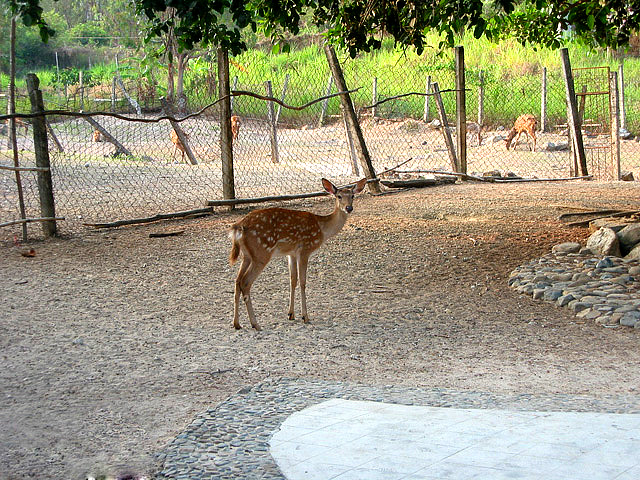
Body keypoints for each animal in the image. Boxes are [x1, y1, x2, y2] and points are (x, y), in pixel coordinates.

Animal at [229, 176, 370, 330]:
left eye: (352, 196)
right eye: (339, 196)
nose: (349, 208)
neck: (323, 229)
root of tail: (238, 227)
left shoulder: (291, 253)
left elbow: (293, 280)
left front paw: (291, 314)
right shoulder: (305, 249)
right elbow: (303, 281)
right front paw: (305, 316)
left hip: (247, 256)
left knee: (237, 281)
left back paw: (236, 323)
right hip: (261, 252)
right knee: (245, 282)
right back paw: (255, 323)